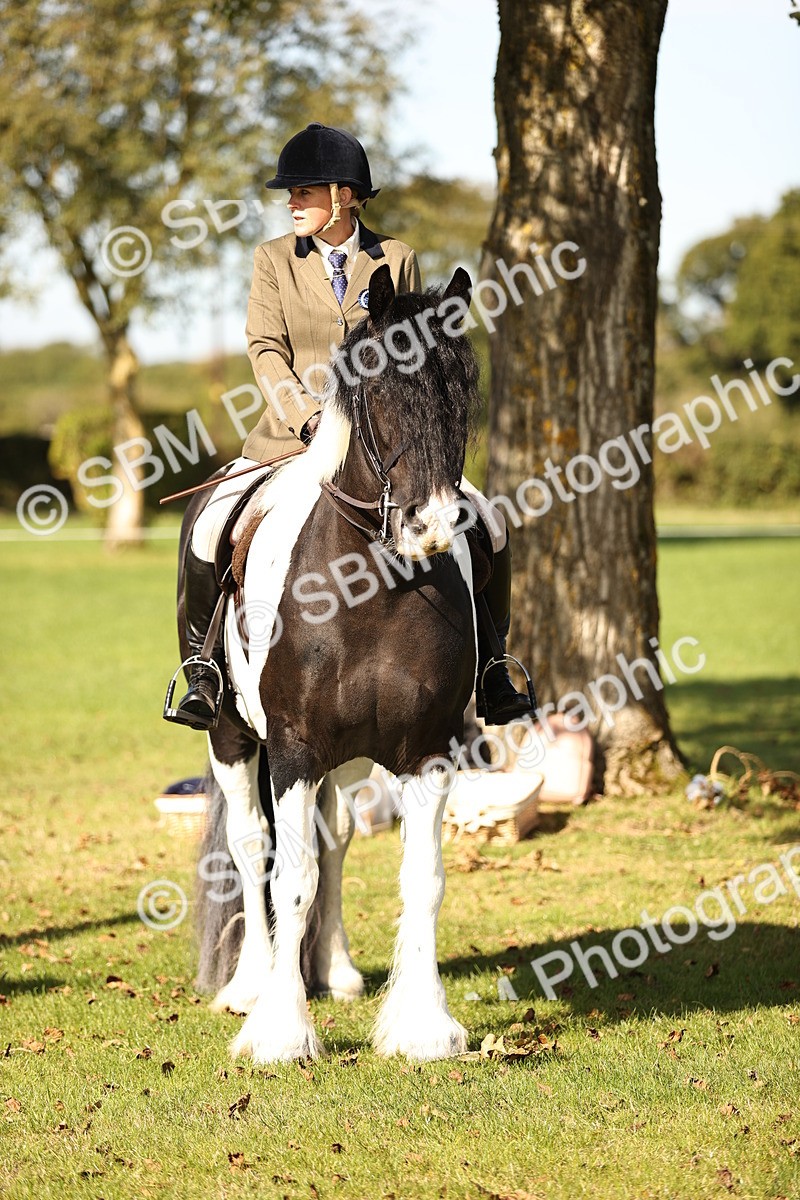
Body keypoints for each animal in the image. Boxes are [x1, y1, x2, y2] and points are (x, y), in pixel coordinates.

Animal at [188, 264, 482, 1063]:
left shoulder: (426, 749)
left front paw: (422, 1025)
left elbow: (423, 878)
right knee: (251, 844)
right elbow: (287, 877)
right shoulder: (292, 748)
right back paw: (254, 985)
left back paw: (336, 971)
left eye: (464, 389)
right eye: (379, 388)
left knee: (336, 838)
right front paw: (280, 1032)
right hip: (232, 736)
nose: (432, 526)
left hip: (349, 761)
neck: (371, 586)